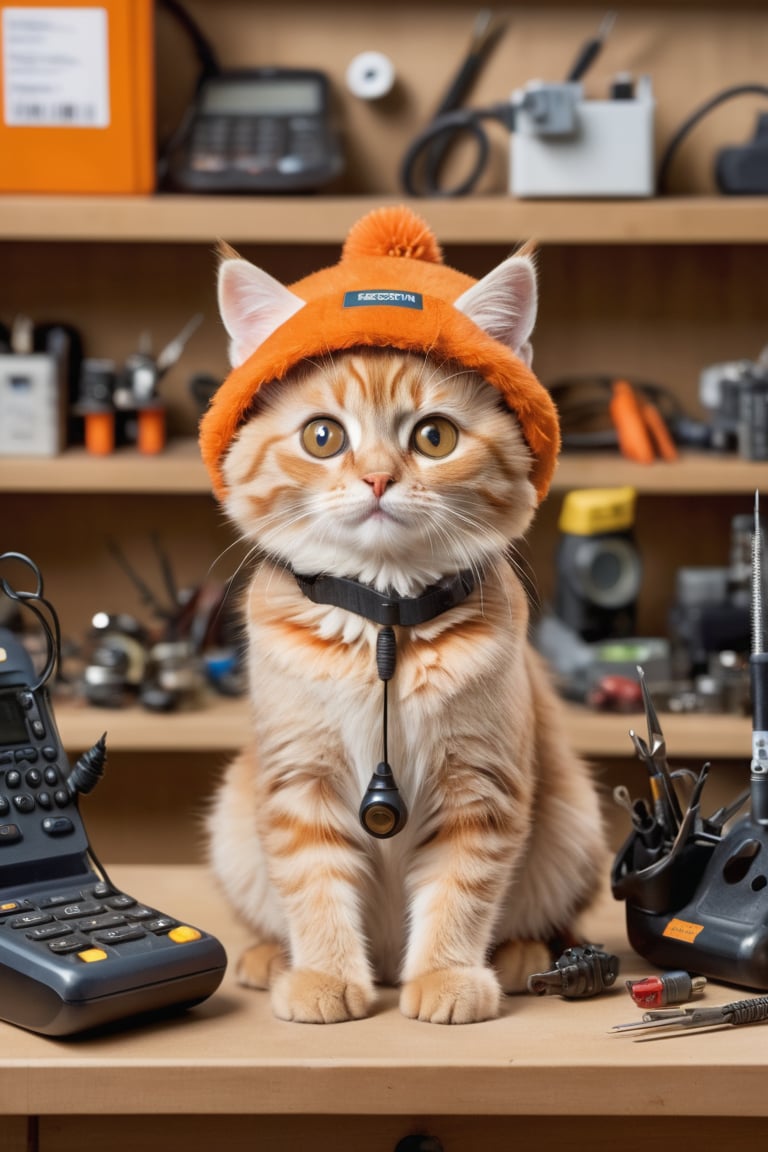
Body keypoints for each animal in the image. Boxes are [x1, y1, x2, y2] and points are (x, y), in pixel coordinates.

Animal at [206, 238, 607, 1022]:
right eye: (323, 436)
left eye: (434, 436)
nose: (378, 479)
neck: (383, 625)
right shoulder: (296, 782)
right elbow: (314, 887)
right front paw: (324, 975)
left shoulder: (482, 786)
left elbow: (460, 890)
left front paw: (448, 977)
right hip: (234, 820)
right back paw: (270, 958)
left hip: (575, 821)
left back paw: (521, 956)